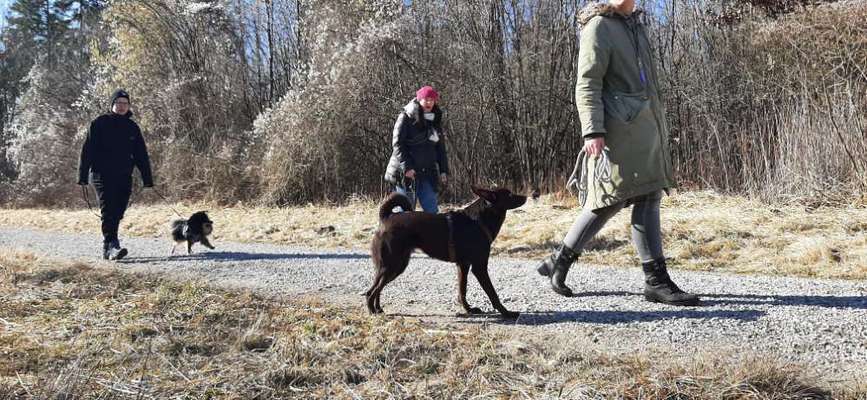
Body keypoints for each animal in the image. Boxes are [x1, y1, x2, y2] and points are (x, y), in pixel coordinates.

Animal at [364, 187, 524, 318]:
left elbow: (462, 290)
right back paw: (372, 311)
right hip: (391, 265)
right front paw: (506, 313)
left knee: (377, 287)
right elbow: (492, 293)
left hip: (395, 266)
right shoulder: (479, 267)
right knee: (371, 291)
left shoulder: (463, 266)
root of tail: (386, 217)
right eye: (509, 194)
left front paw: (468, 310)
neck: (479, 221)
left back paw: (378, 309)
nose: (526, 196)